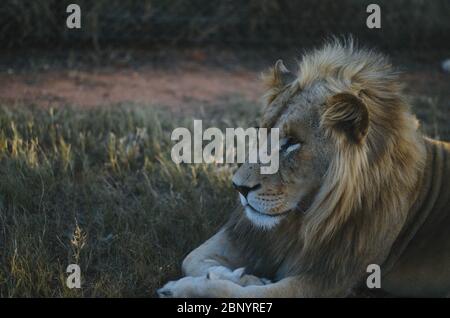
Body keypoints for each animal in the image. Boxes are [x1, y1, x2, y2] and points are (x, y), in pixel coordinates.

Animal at [157, 39, 450, 298]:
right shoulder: (246, 237)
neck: (302, 220)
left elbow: (240, 293)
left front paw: (180, 289)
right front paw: (243, 276)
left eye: (292, 143)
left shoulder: (328, 281)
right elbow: (191, 258)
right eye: (263, 131)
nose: (238, 187)